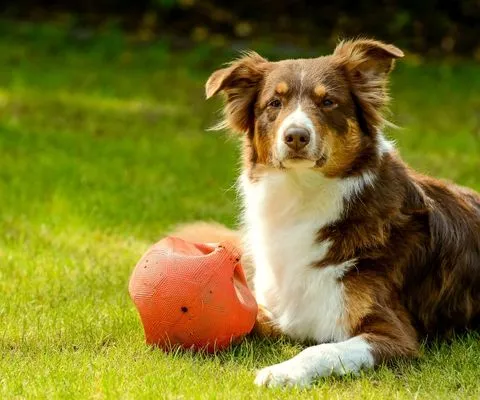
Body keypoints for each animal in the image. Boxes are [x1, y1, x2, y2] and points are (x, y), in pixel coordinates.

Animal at [172, 39, 480, 388]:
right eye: (274, 103)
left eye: (329, 102)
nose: (296, 136)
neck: (302, 195)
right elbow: (245, 320)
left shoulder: (395, 334)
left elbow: (324, 349)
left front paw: (283, 371)